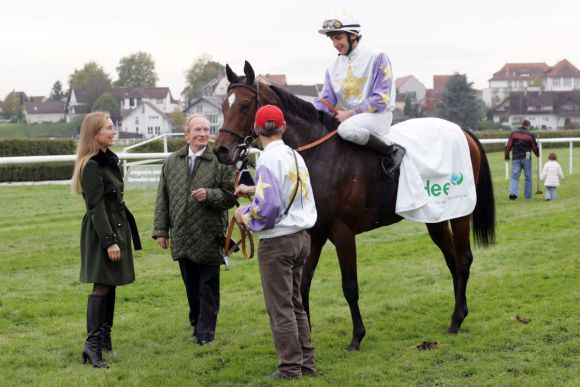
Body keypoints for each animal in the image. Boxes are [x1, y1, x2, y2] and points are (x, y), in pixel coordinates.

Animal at [213, 61, 494, 352]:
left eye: (246, 105)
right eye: (223, 105)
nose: (221, 150)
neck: (321, 157)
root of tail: (463, 131)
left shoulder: (343, 231)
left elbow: (350, 285)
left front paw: (357, 336)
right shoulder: (315, 233)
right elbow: (303, 285)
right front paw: (307, 338)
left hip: (460, 213)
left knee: (463, 258)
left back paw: (457, 320)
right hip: (435, 217)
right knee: (451, 259)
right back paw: (458, 314)